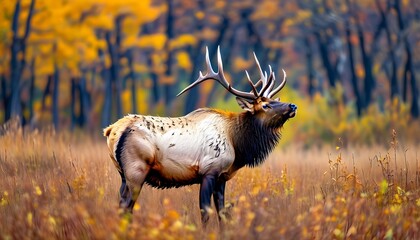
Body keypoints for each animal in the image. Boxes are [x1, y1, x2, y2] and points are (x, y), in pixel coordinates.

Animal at [103, 46, 296, 225]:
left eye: (275, 100)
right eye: (265, 105)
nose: (292, 106)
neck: (237, 144)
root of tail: (111, 130)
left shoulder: (221, 177)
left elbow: (222, 213)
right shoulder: (209, 170)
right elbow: (205, 211)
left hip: (122, 173)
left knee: (121, 204)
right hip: (136, 170)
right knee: (126, 206)